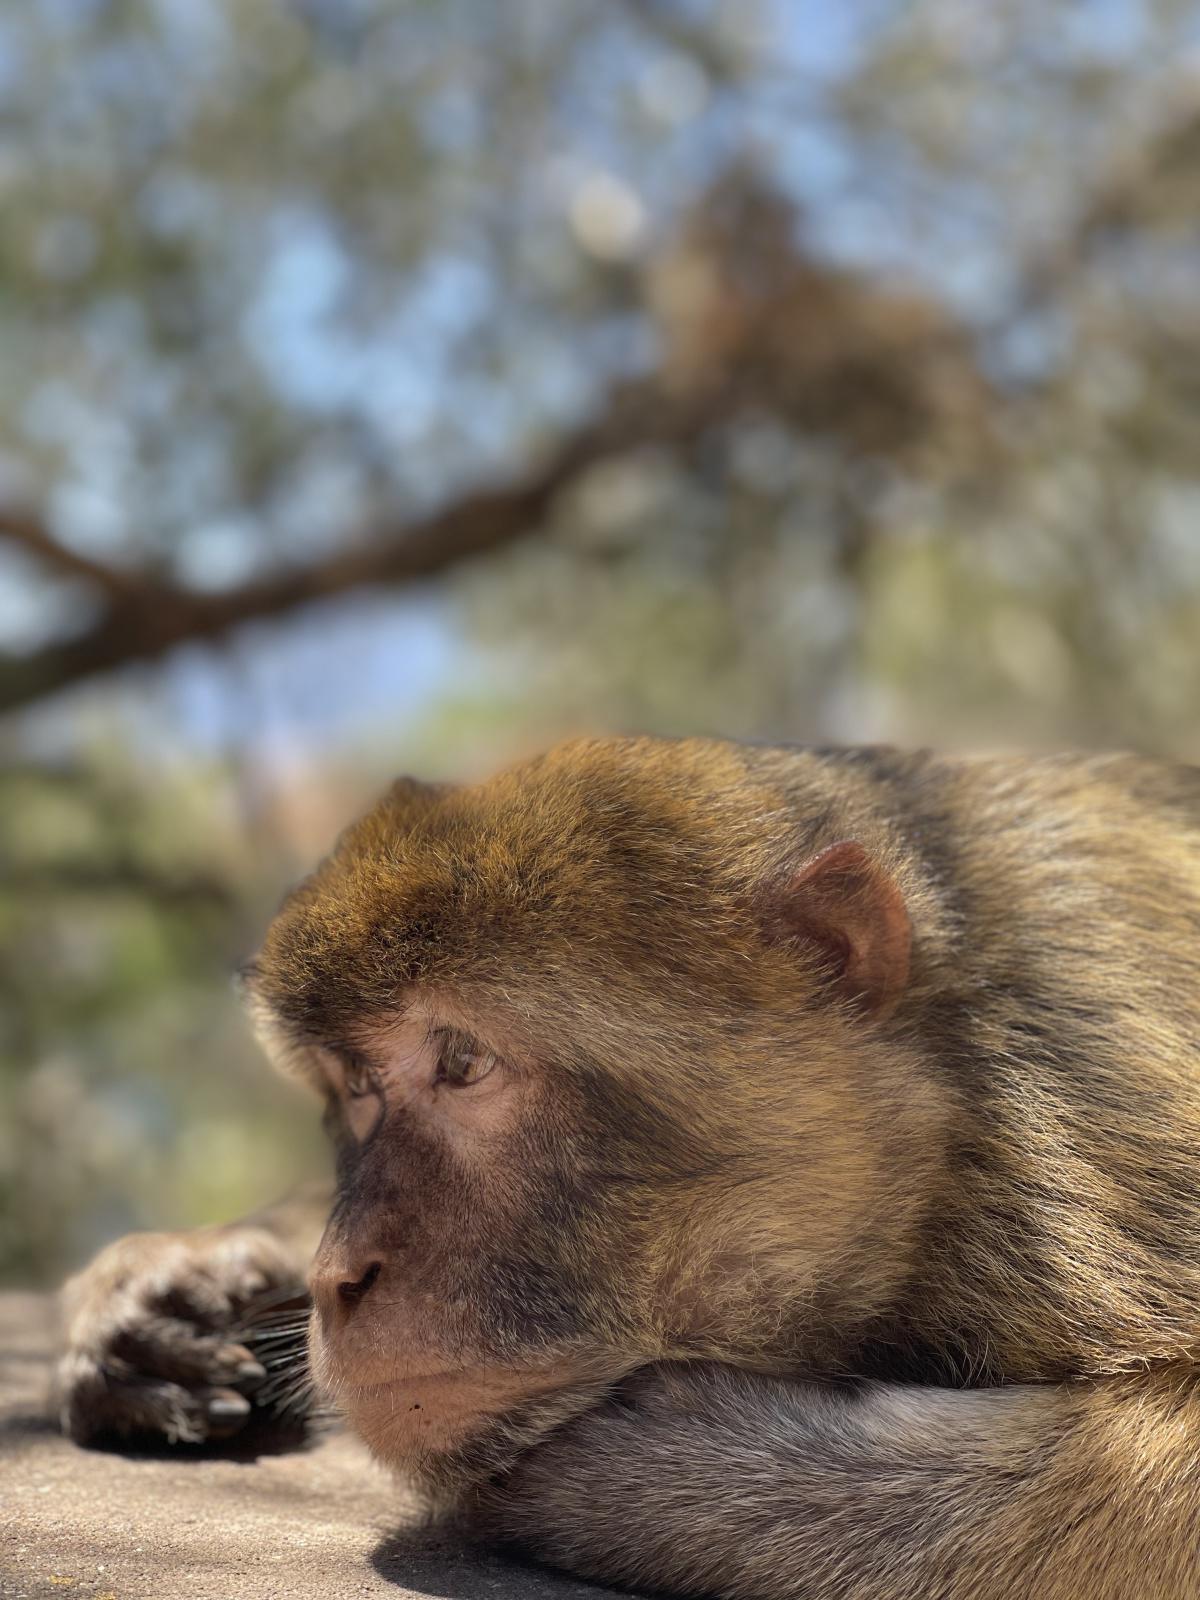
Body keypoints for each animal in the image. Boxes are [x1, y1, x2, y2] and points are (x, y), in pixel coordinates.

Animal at [55, 736, 1200, 1599]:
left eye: (460, 1061)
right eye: (358, 1088)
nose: (340, 1273)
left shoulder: (1091, 1159)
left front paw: (666, 1474)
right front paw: (189, 1276)